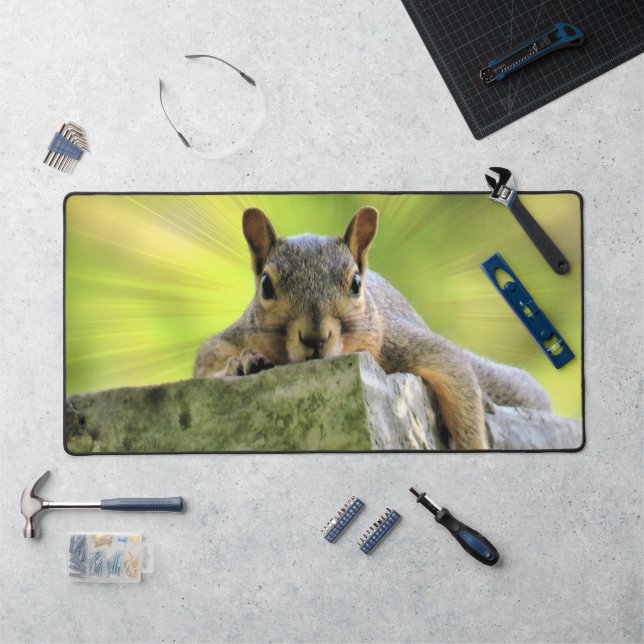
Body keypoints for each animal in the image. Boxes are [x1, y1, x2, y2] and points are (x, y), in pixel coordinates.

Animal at [194, 206, 551, 449]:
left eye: (356, 284)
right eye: (266, 286)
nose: (315, 338)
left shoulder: (400, 343)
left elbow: (456, 377)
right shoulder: (241, 333)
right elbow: (206, 362)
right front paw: (242, 362)